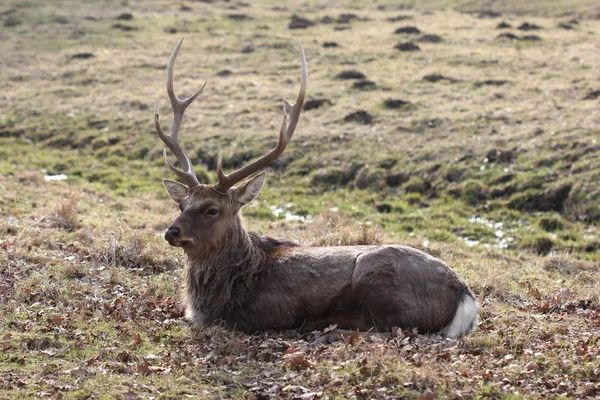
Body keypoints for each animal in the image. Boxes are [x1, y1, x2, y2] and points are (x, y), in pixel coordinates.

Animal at [154, 39, 478, 338]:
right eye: (181, 204)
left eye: (212, 209)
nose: (171, 232)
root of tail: (466, 298)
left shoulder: (268, 315)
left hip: (377, 277)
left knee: (391, 329)